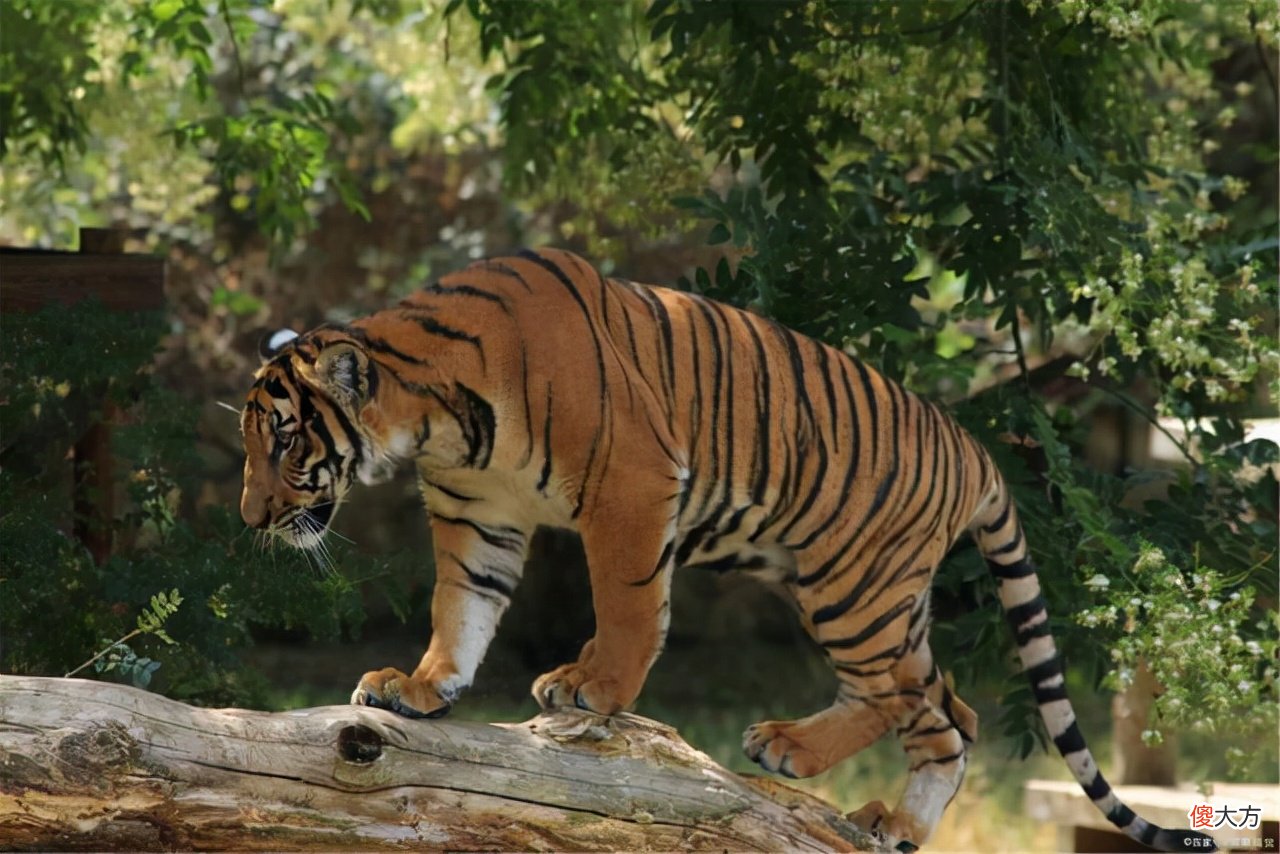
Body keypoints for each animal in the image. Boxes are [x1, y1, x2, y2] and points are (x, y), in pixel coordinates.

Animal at [240, 248, 1214, 853]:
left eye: (285, 441)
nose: (251, 518)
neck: (439, 421)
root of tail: (972, 445)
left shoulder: (631, 486)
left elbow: (628, 604)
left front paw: (592, 687)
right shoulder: (479, 515)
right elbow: (462, 607)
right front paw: (419, 688)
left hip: (850, 585)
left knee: (900, 696)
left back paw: (789, 749)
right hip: (876, 597)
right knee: (951, 715)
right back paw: (894, 826)